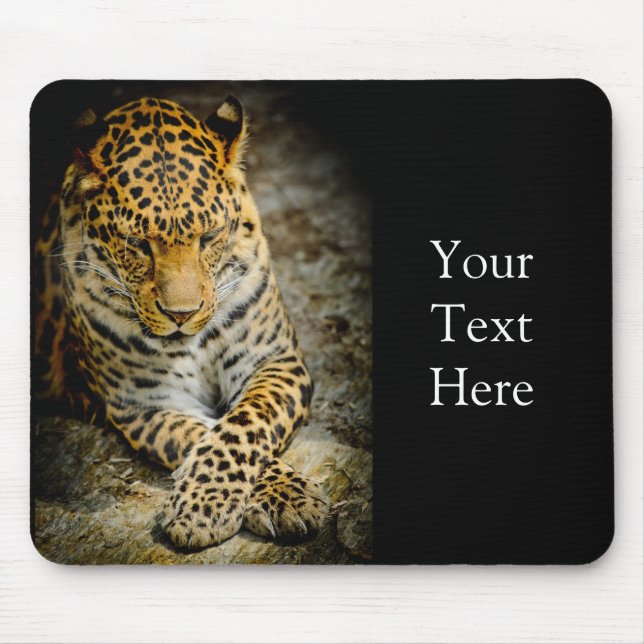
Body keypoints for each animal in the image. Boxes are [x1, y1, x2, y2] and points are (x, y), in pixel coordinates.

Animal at [33, 95, 327, 548]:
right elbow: (203, 434)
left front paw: (283, 496)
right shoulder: (145, 403)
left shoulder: (274, 361)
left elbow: (242, 425)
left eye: (208, 238)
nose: (182, 315)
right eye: (137, 244)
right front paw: (212, 506)